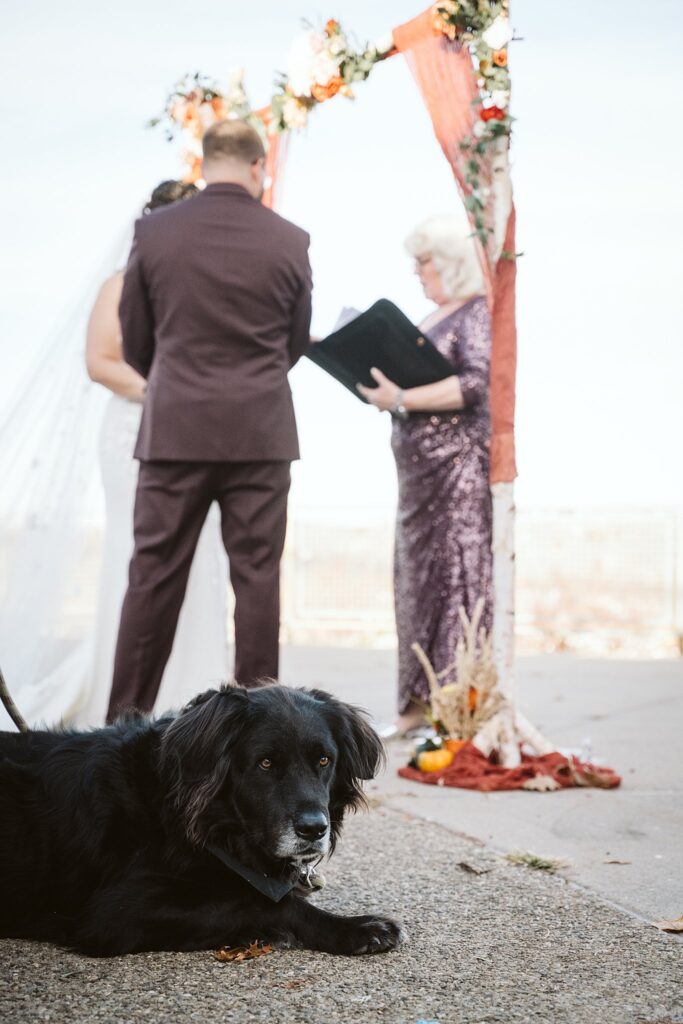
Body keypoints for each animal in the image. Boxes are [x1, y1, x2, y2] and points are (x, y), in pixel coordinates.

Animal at [1, 684, 405, 954]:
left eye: (324, 760)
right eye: (265, 763)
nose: (313, 829)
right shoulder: (115, 912)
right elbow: (256, 902)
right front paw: (353, 928)